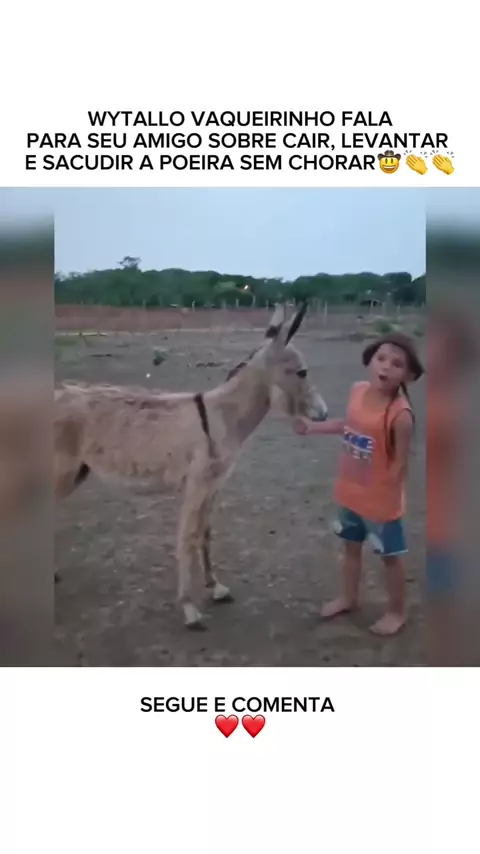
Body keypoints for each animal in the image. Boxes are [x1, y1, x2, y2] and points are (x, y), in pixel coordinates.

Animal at [54, 302, 328, 629]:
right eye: (302, 372)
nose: (325, 413)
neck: (222, 416)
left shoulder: (214, 487)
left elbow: (205, 534)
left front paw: (216, 588)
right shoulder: (196, 486)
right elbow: (187, 539)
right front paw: (189, 608)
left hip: (76, 472)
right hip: (61, 471)